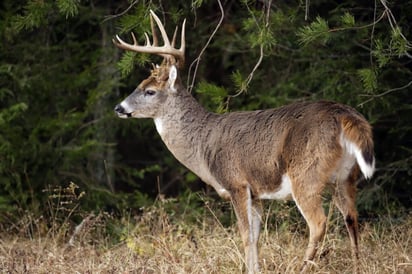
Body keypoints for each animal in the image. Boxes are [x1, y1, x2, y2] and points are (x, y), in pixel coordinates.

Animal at [112, 9, 374, 272]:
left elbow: (246, 235)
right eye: (140, 85)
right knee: (352, 217)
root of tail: (344, 115)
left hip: (306, 173)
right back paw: (357, 265)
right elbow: (256, 237)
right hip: (345, 176)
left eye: (150, 91)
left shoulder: (236, 182)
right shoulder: (256, 193)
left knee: (319, 223)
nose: (118, 107)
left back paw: (302, 266)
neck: (202, 144)